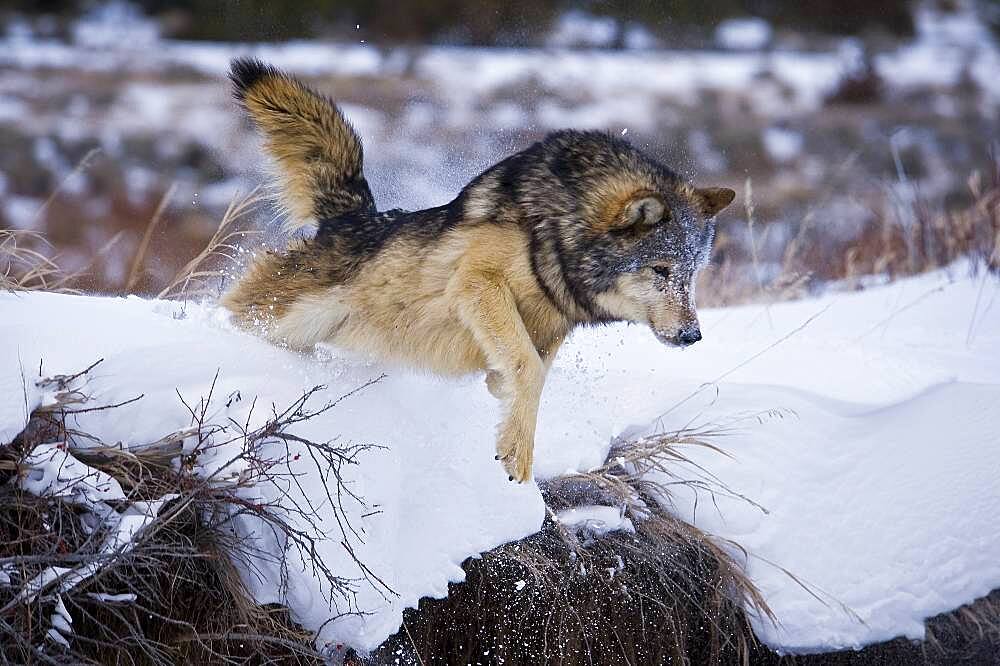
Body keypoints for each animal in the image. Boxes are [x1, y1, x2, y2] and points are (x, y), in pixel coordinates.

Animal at [221, 57, 736, 480]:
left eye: (691, 274)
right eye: (661, 270)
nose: (693, 336)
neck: (556, 227)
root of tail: (350, 218)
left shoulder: (551, 325)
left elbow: (527, 369)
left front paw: (501, 399)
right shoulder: (478, 285)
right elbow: (528, 368)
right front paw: (518, 455)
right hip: (285, 318)